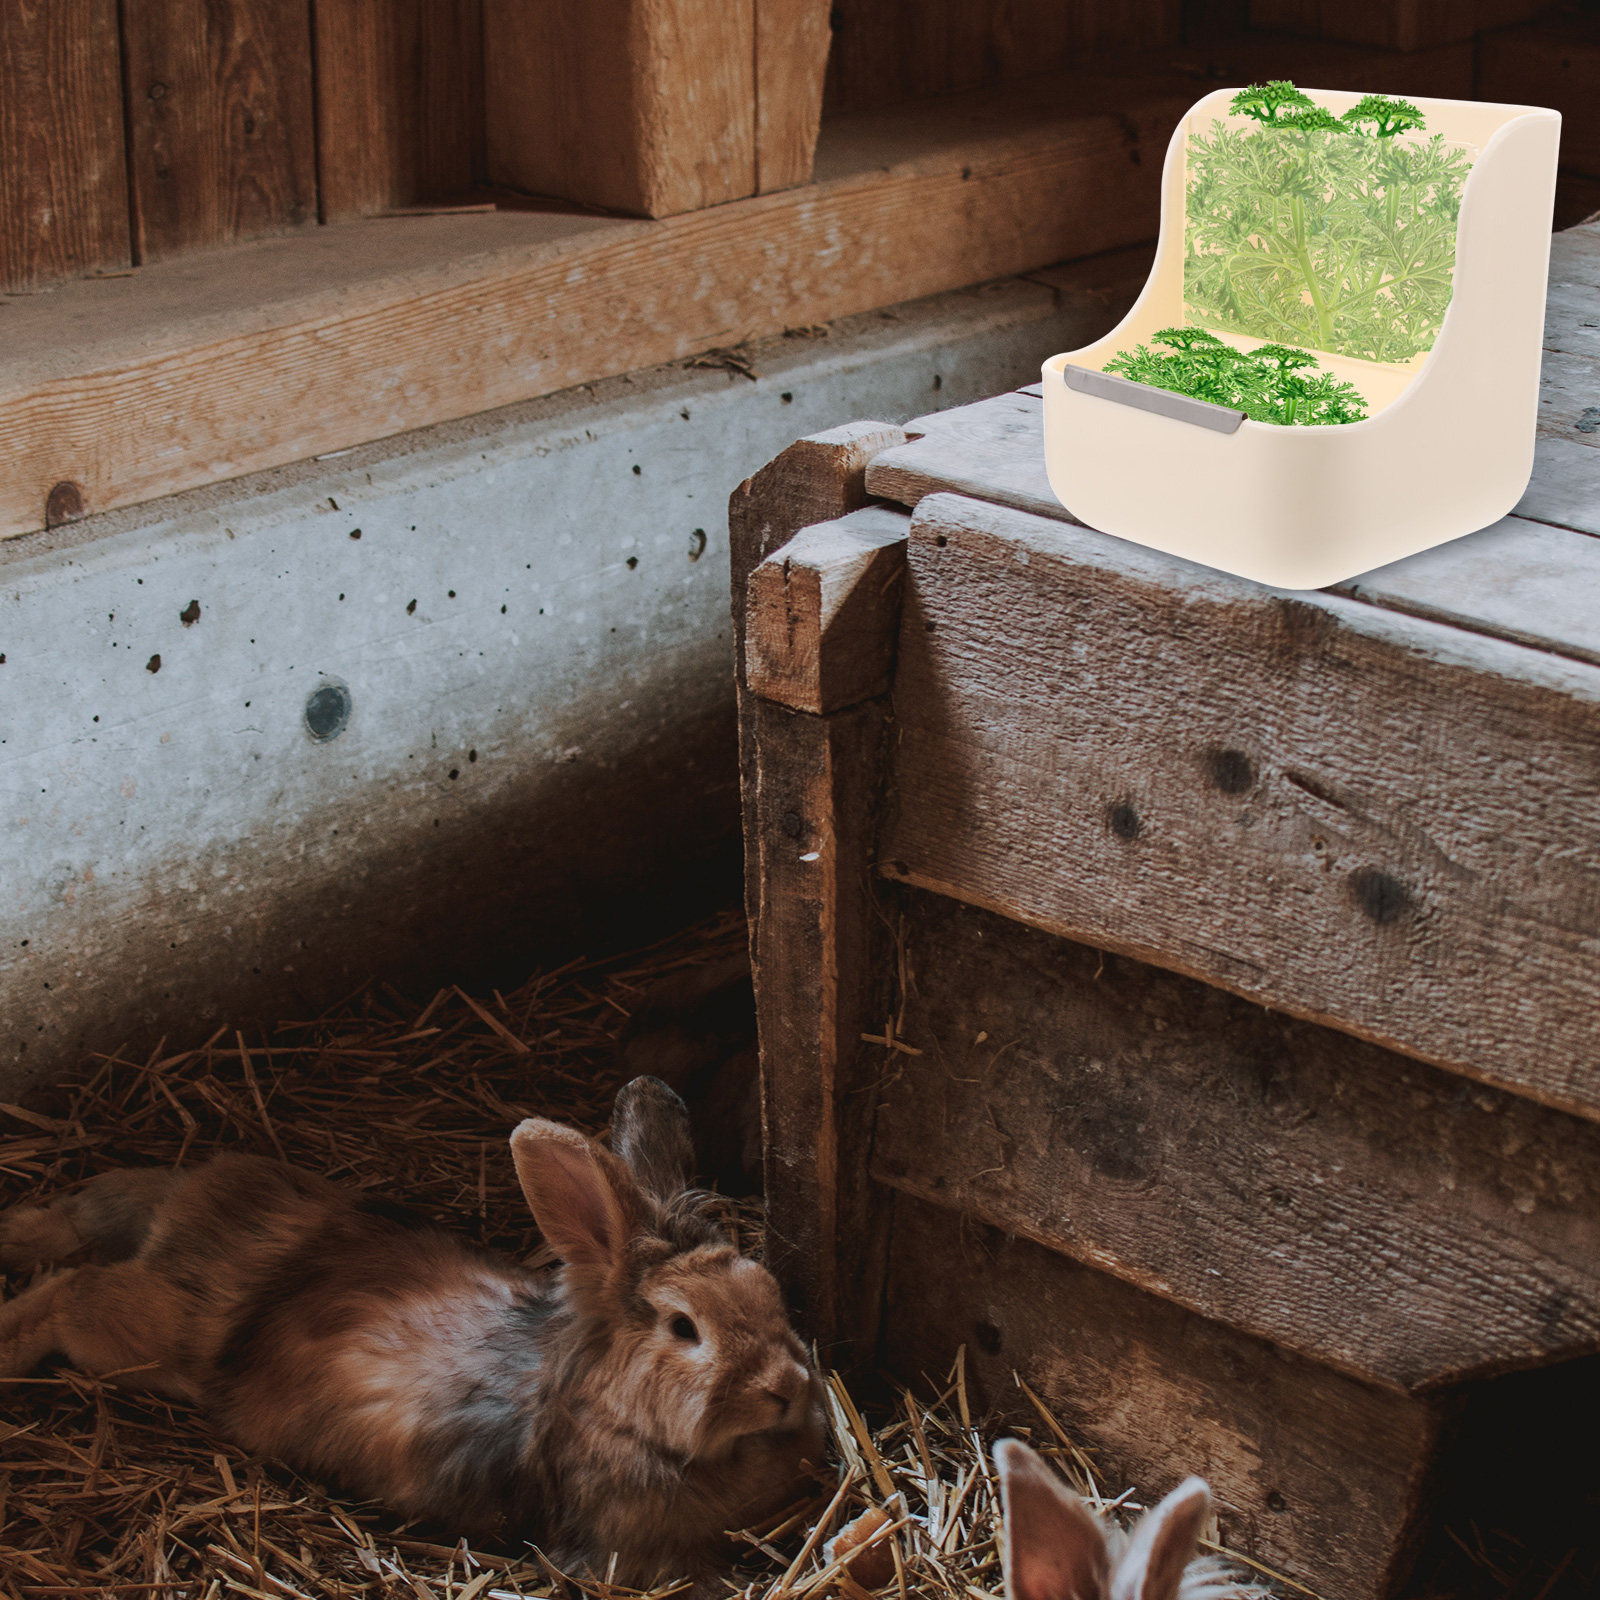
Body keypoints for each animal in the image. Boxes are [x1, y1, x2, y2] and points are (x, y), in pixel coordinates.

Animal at [0, 1076, 825, 1586]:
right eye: (685, 1328)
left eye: (767, 1293)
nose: (786, 1388)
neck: (612, 1414)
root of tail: (192, 1210)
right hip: (146, 1336)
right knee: (72, 1291)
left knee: (78, 1224)